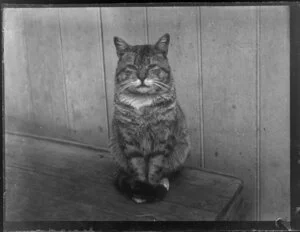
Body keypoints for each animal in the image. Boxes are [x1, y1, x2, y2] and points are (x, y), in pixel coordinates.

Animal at [109, 32, 191, 203]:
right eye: (132, 67)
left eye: (152, 67)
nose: (141, 77)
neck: (142, 104)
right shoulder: (129, 138)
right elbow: (137, 165)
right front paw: (141, 188)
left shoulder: (163, 136)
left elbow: (155, 165)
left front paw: (151, 187)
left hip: (182, 148)